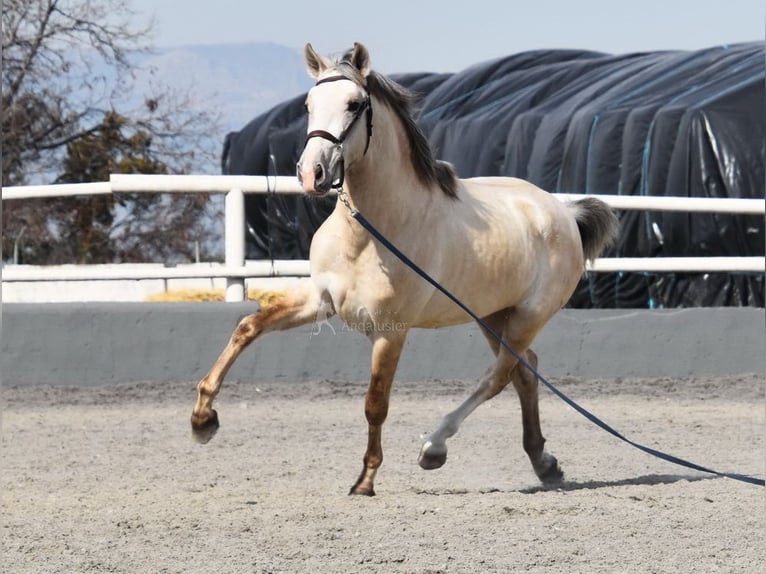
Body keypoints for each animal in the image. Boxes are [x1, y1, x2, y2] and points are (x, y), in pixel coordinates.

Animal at [190, 42, 616, 498]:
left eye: (354, 104)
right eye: (308, 105)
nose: (311, 174)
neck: (370, 233)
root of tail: (564, 213)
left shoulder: (390, 331)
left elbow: (376, 403)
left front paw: (365, 480)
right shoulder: (319, 299)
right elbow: (248, 327)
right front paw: (202, 420)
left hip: (526, 318)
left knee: (499, 376)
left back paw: (434, 447)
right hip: (493, 316)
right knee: (525, 373)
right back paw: (543, 463)